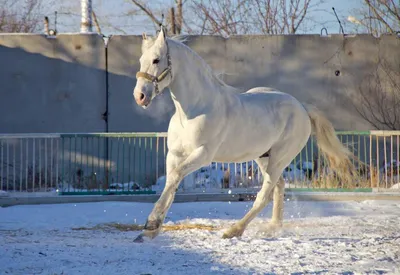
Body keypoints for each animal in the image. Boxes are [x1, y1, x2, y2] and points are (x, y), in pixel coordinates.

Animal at [133, 28, 354, 244]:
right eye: (141, 59)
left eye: (156, 60)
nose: (139, 96)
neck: (192, 111)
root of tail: (301, 107)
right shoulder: (174, 154)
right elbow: (171, 184)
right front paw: (149, 231)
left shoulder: (203, 154)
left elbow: (175, 177)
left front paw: (151, 225)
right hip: (264, 157)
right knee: (278, 187)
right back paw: (272, 227)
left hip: (280, 158)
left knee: (265, 194)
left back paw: (234, 230)